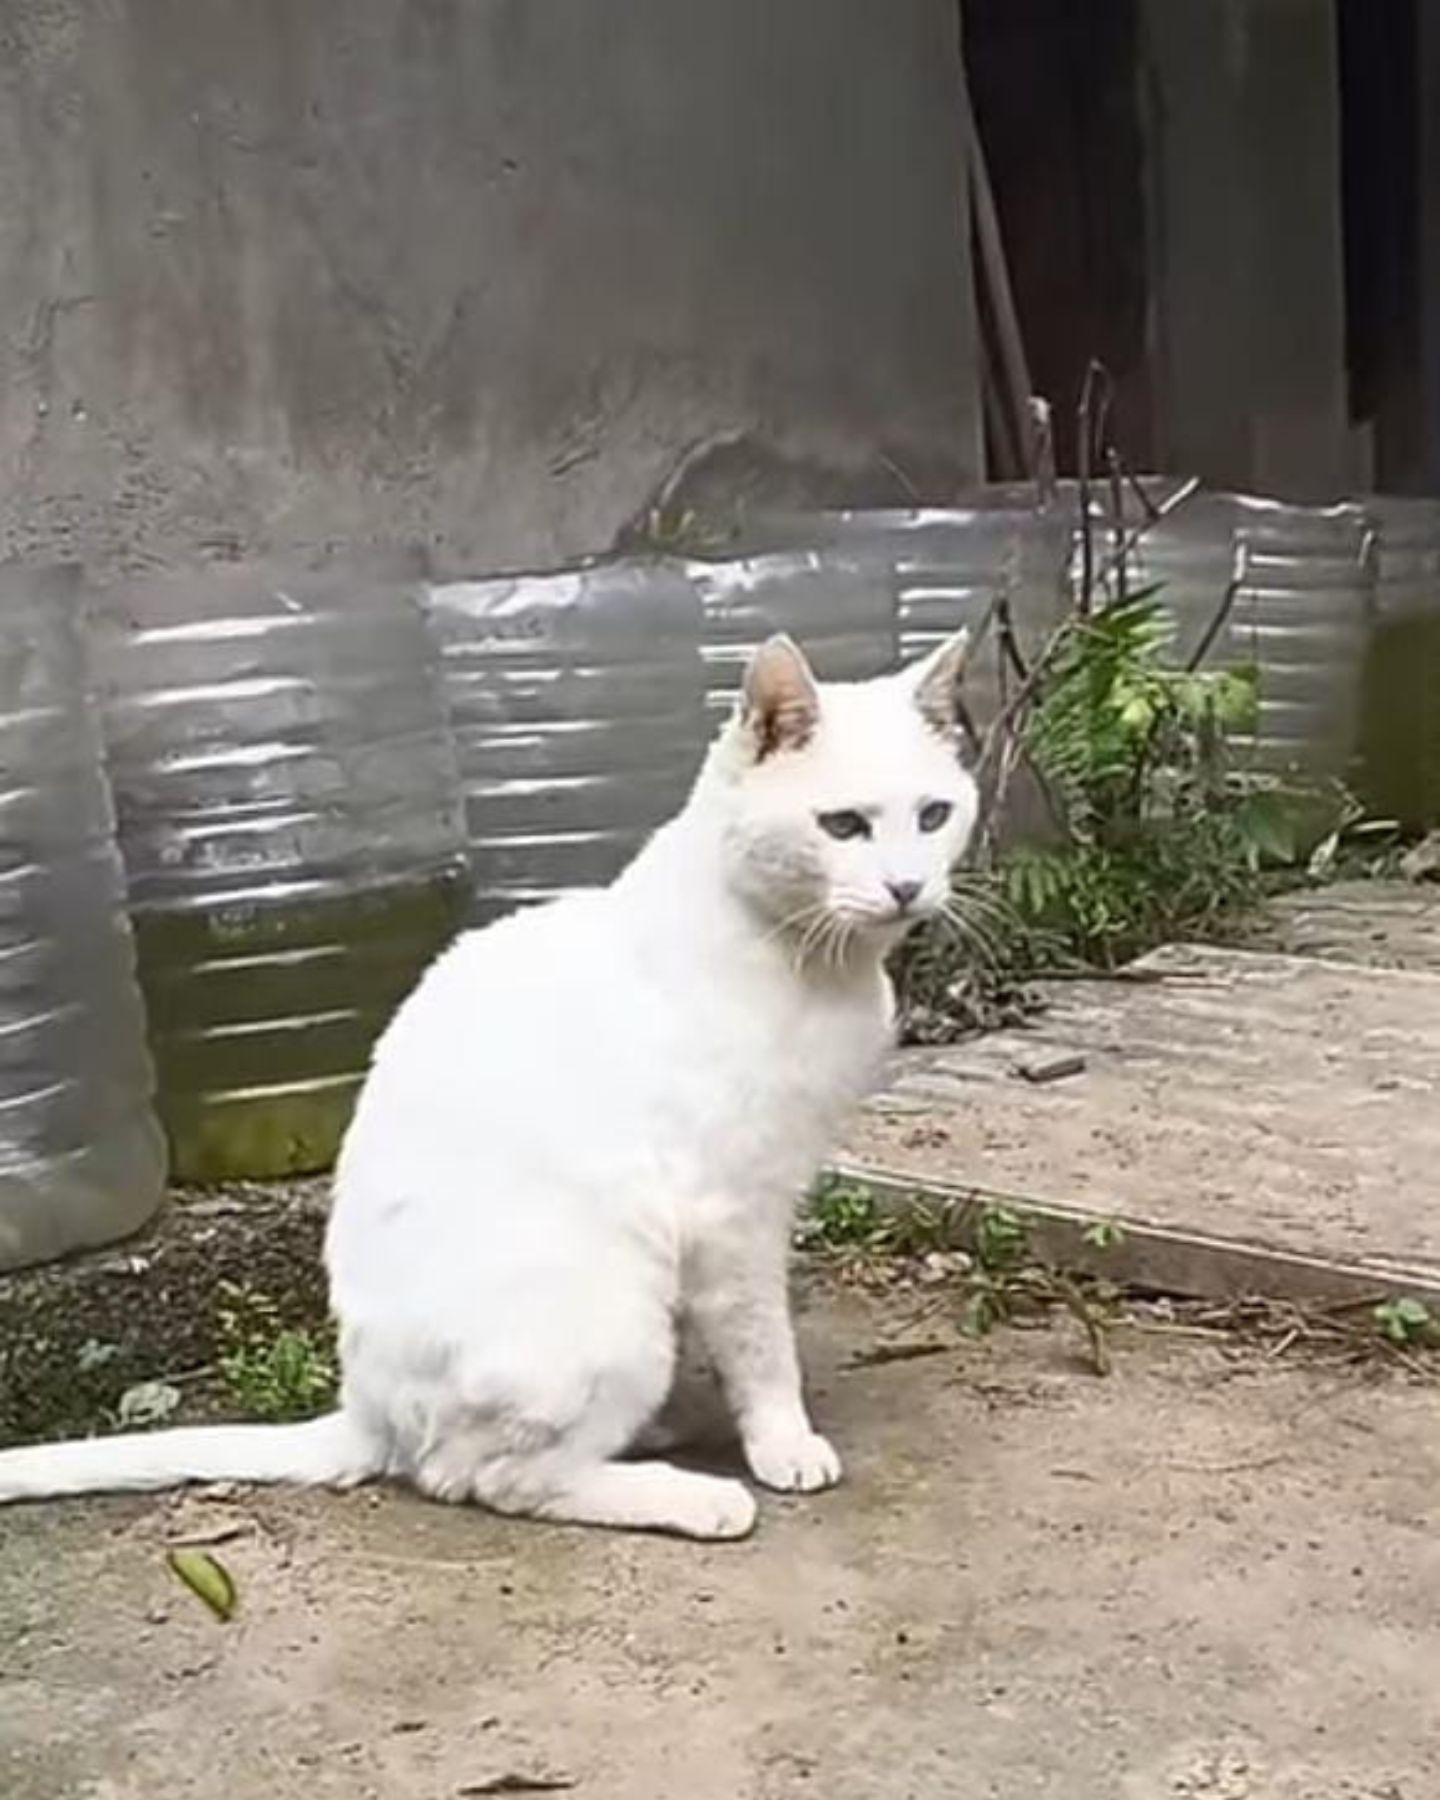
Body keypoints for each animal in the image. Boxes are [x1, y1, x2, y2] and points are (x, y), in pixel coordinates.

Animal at [0, 626, 979, 1540]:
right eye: (843, 826)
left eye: (934, 815)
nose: (907, 886)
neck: (818, 966)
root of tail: (367, 1406)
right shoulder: (732, 1213)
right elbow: (762, 1343)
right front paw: (783, 1441)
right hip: (608, 1306)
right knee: (488, 1478)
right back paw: (690, 1495)